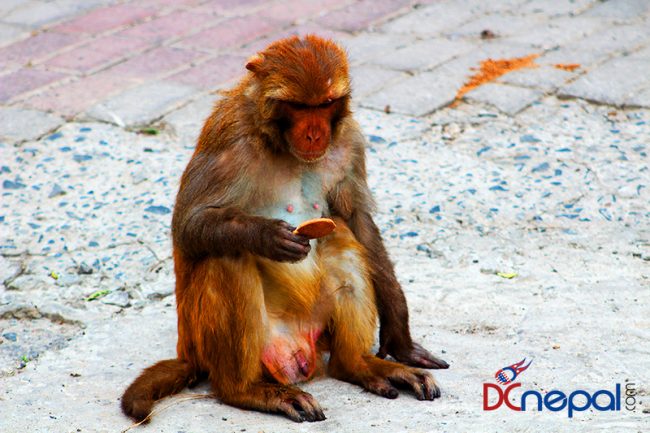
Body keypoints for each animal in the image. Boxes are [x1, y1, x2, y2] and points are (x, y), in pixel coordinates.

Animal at [121, 35, 448, 423]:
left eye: (325, 104)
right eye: (297, 106)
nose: (315, 133)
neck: (275, 141)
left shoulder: (349, 140)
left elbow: (356, 220)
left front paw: (399, 337)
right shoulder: (228, 137)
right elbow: (188, 225)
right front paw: (266, 237)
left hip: (316, 330)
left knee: (341, 241)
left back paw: (357, 365)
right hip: (221, 344)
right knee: (227, 256)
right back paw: (245, 390)